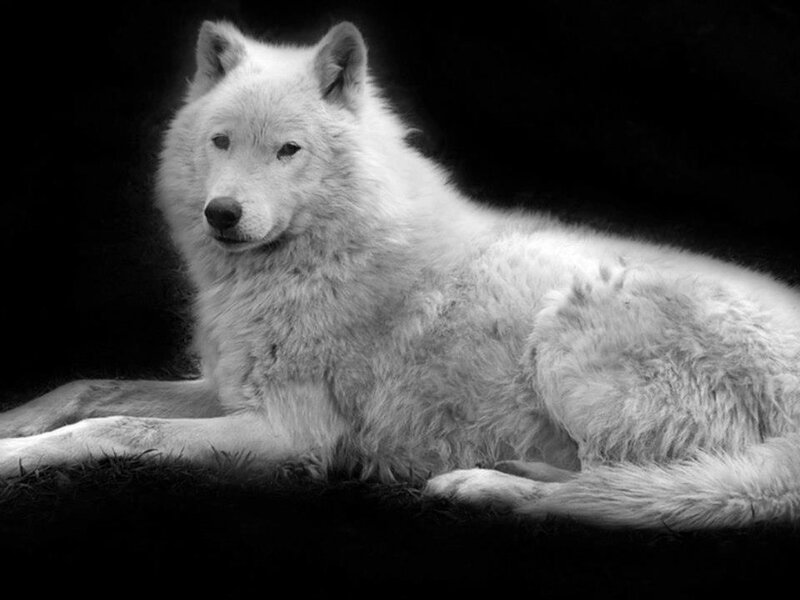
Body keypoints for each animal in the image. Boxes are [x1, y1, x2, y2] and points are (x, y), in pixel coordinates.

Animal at [1, 21, 798, 529]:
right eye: (221, 142)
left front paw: (18, 455)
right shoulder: (224, 389)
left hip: (569, 335)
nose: (221, 213)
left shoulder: (290, 435)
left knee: (630, 492)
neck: (322, 256)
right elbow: (91, 387)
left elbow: (119, 425)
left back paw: (483, 486)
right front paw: (14, 422)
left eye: (288, 150)